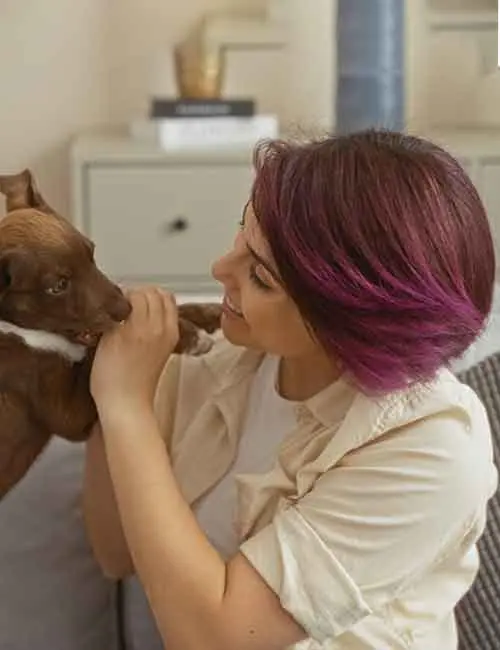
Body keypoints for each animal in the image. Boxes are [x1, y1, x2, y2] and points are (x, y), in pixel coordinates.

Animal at [0, 167, 221, 496]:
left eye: (91, 252)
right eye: (58, 286)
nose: (125, 309)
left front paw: (209, 313)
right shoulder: (70, 412)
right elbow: (98, 350)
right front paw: (189, 336)